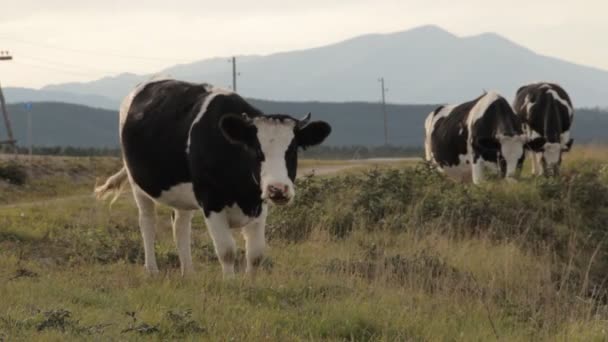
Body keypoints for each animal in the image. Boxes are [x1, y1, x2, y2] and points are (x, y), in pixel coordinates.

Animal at [94, 79, 332, 278]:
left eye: (292, 150)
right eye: (255, 150)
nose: (278, 189)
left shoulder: (259, 205)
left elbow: (255, 253)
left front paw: (250, 284)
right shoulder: (211, 201)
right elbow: (227, 251)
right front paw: (231, 285)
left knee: (180, 226)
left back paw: (188, 273)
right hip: (138, 183)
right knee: (147, 223)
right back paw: (152, 270)